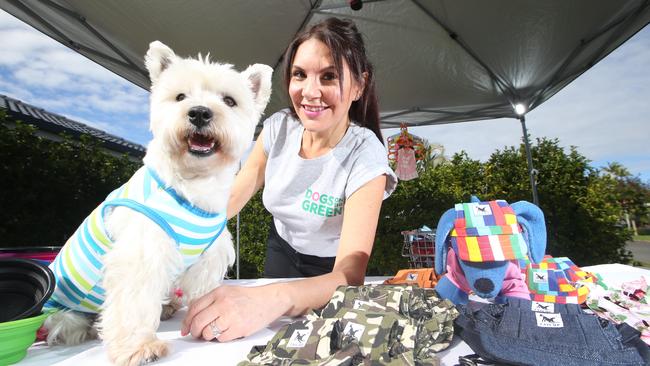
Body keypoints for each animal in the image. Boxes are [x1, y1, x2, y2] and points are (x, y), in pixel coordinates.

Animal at [43, 41, 270, 364]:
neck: (193, 187)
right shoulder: (142, 253)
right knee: (70, 325)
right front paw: (139, 348)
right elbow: (134, 302)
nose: (199, 113)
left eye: (229, 100)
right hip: (63, 312)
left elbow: (205, 292)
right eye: (180, 97)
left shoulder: (208, 258)